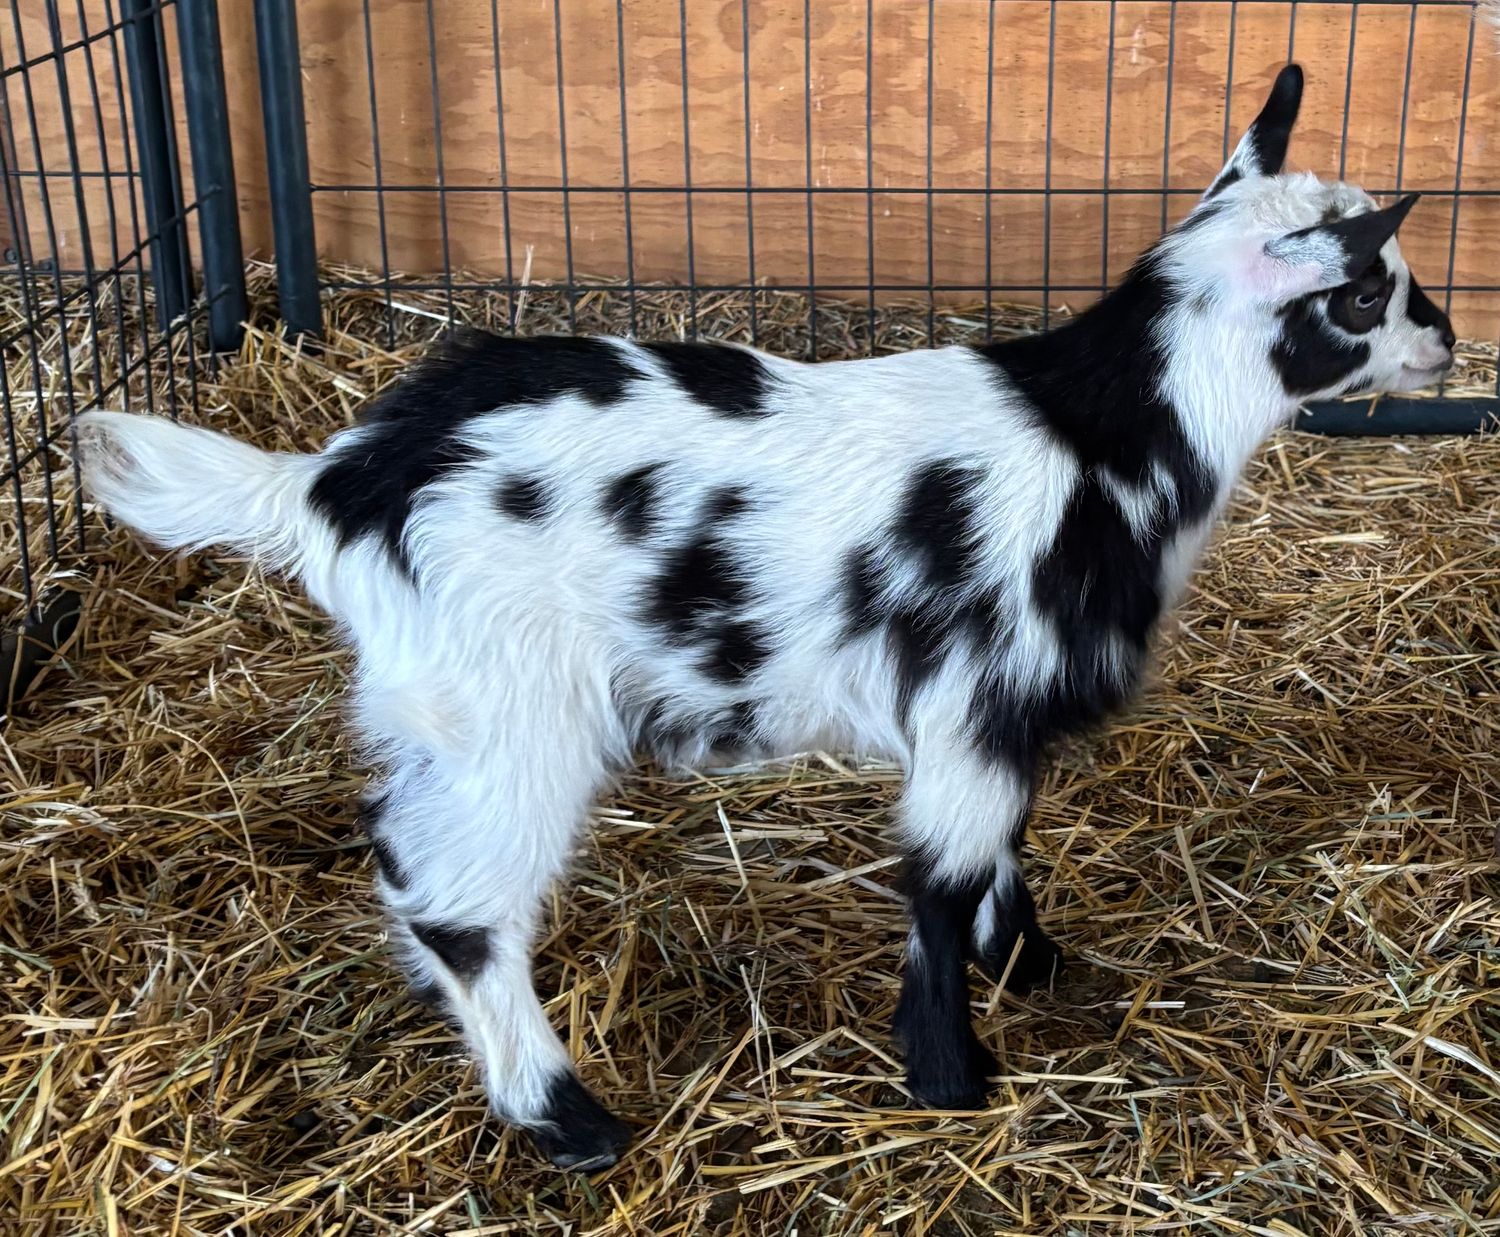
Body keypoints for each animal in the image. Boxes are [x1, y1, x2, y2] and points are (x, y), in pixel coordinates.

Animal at [78, 65, 1456, 1171]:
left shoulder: (995, 720)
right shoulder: (973, 702)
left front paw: (1035, 966)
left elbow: (1001, 854)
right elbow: (941, 881)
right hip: (518, 717)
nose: (1443, 340)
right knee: (460, 905)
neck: (1108, 437)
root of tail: (334, 483)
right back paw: (566, 1118)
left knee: (407, 859)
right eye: (1365, 290)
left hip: (448, 714)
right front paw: (950, 1075)